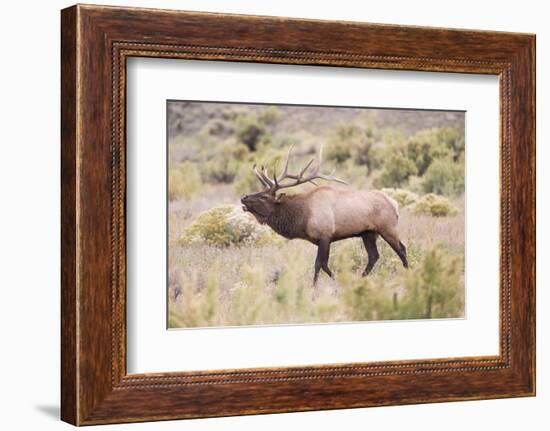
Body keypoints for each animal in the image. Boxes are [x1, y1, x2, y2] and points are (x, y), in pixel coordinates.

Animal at [243, 147, 410, 286]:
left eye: (264, 197)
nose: (243, 198)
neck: (303, 218)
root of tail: (394, 204)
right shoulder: (322, 240)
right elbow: (324, 264)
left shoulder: (325, 236)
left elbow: (319, 264)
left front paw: (316, 288)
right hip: (368, 233)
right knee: (374, 256)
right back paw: (361, 279)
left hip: (387, 228)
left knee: (402, 249)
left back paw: (408, 274)